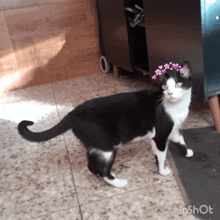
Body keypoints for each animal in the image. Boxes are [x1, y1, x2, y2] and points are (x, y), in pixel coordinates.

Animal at [18, 61, 194, 187]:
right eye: (164, 87)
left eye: (178, 84)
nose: (170, 93)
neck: (177, 108)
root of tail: (72, 113)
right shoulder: (160, 136)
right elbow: (161, 155)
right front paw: (163, 171)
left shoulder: (173, 131)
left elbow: (181, 140)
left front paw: (187, 153)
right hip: (108, 145)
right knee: (102, 169)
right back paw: (117, 182)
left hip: (95, 144)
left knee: (91, 165)